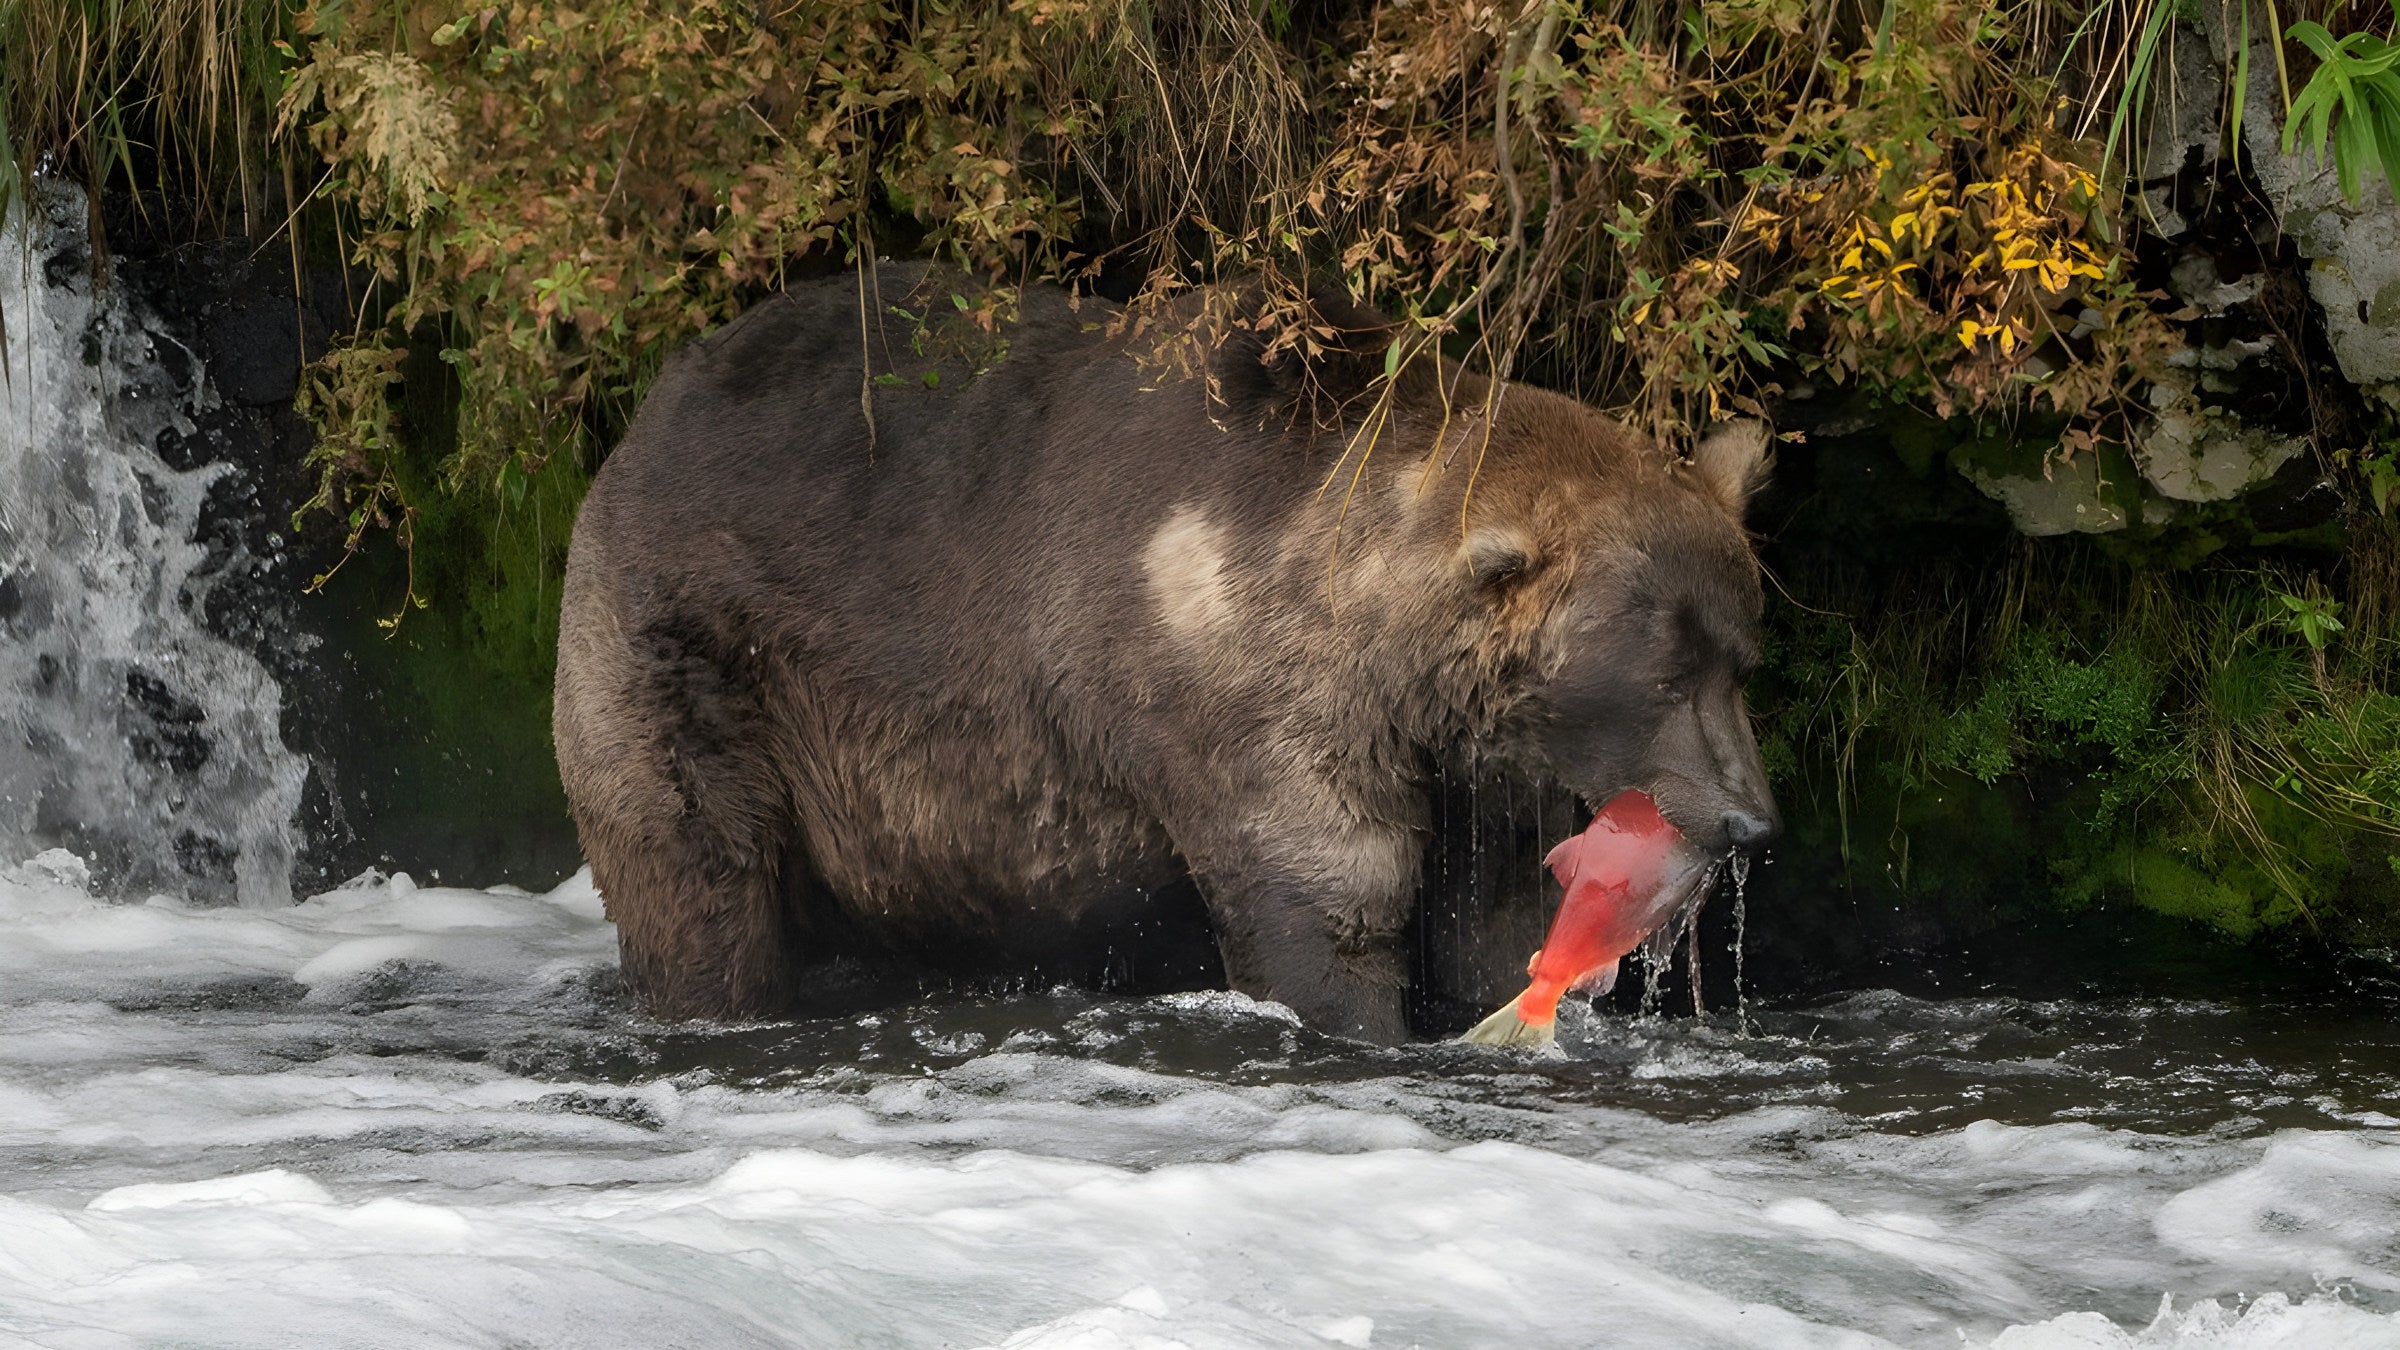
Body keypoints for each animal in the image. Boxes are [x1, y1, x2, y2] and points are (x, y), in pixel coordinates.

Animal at [553, 264, 1778, 1042]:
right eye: (1664, 673)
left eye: (1740, 659)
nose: (1749, 819)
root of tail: (646, 412)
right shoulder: (1241, 694)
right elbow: (1330, 899)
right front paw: (1361, 1017)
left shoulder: (1474, 760)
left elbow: (1492, 911)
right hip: (698, 650)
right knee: (698, 870)